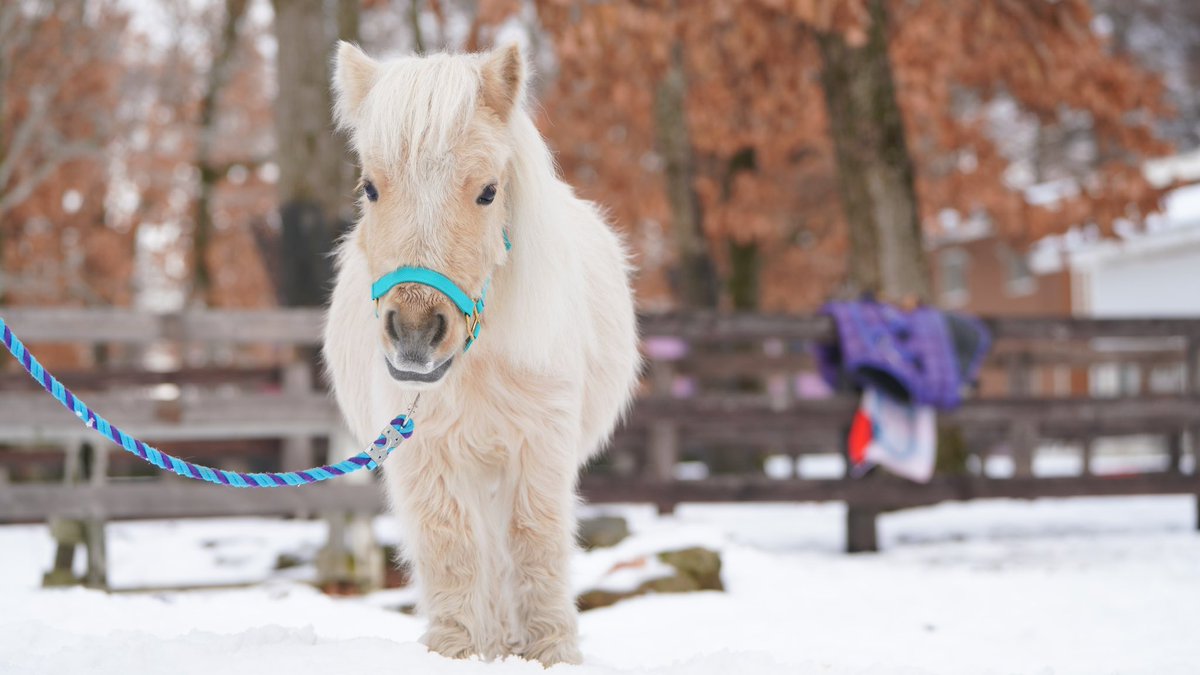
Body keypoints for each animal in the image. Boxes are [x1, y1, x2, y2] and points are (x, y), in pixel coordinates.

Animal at [322, 42, 640, 666]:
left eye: (488, 191)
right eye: (370, 187)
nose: (415, 334)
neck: (477, 363)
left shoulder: (540, 447)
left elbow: (535, 541)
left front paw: (549, 652)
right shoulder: (428, 457)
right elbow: (454, 550)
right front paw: (460, 651)